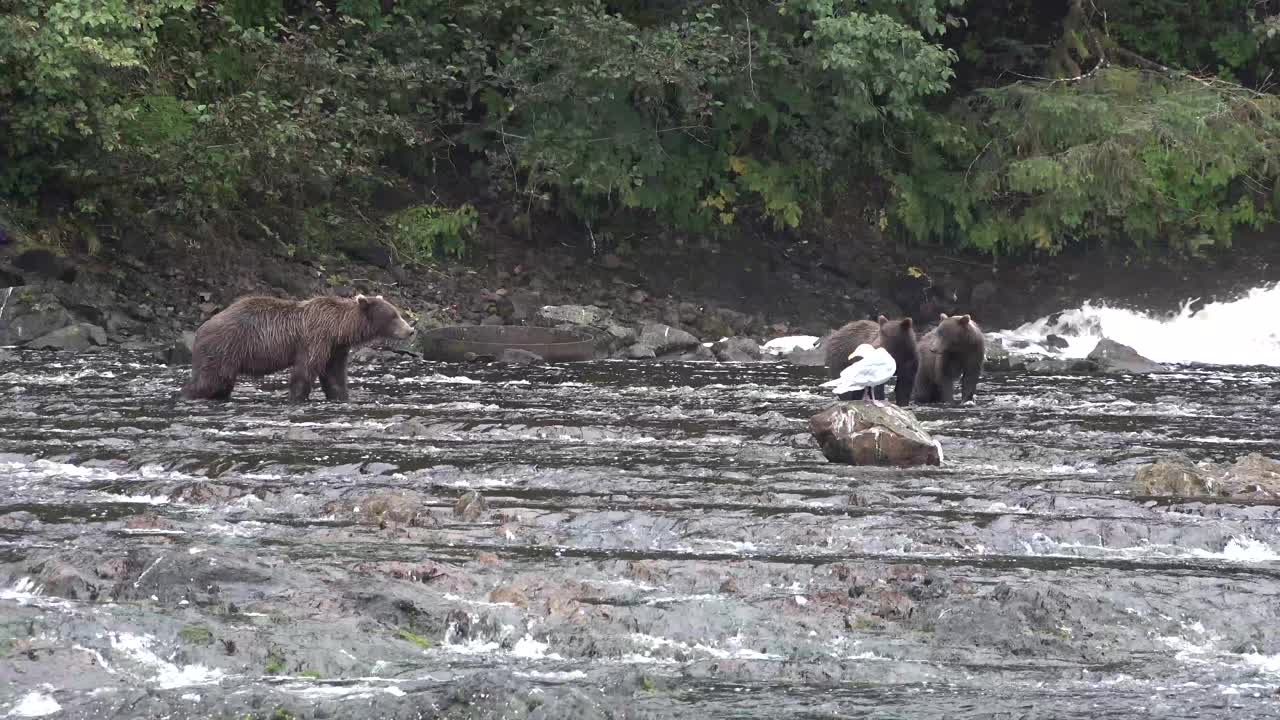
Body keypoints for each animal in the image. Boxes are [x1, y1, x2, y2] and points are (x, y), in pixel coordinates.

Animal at [181, 293, 414, 404]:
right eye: (393, 316)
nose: (410, 330)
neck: (339, 329)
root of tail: (201, 329)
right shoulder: (315, 339)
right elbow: (305, 370)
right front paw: (297, 397)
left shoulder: (336, 349)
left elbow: (335, 376)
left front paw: (341, 396)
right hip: (225, 347)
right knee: (208, 380)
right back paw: (187, 395)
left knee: (221, 383)